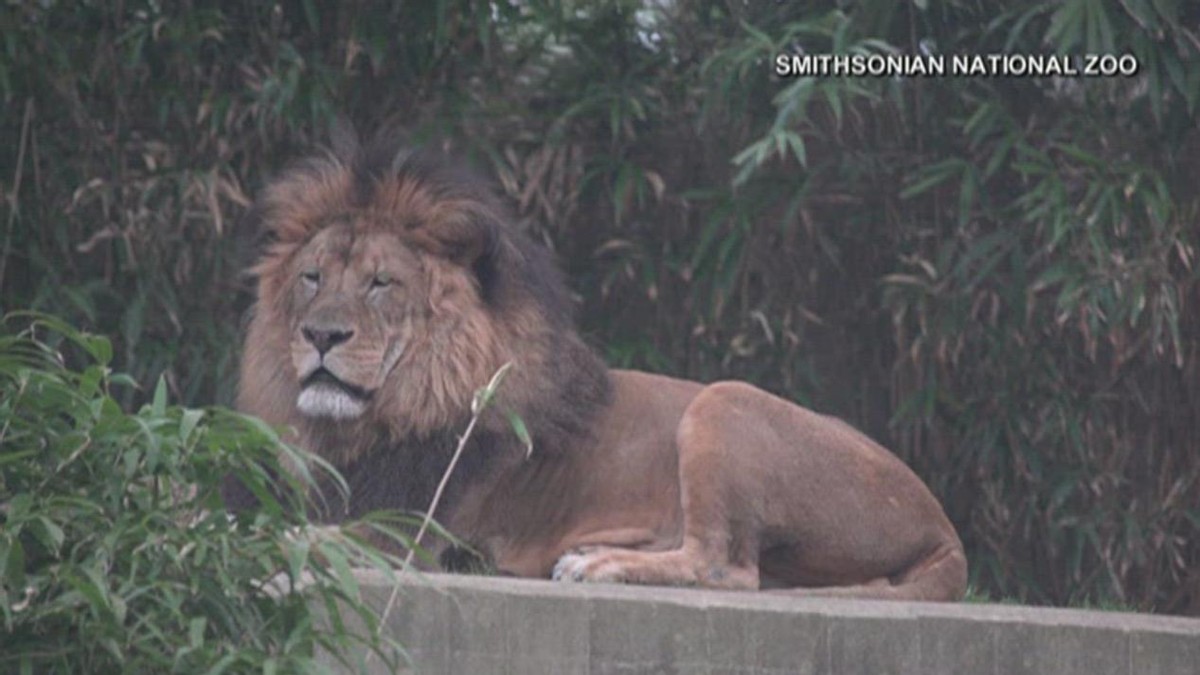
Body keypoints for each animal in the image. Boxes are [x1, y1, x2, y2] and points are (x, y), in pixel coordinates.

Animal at [234, 132, 964, 598]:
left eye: (382, 283)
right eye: (312, 277)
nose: (320, 334)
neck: (372, 420)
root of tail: (942, 524)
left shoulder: (413, 534)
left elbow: (299, 531)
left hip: (724, 400)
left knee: (727, 566)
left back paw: (598, 566)